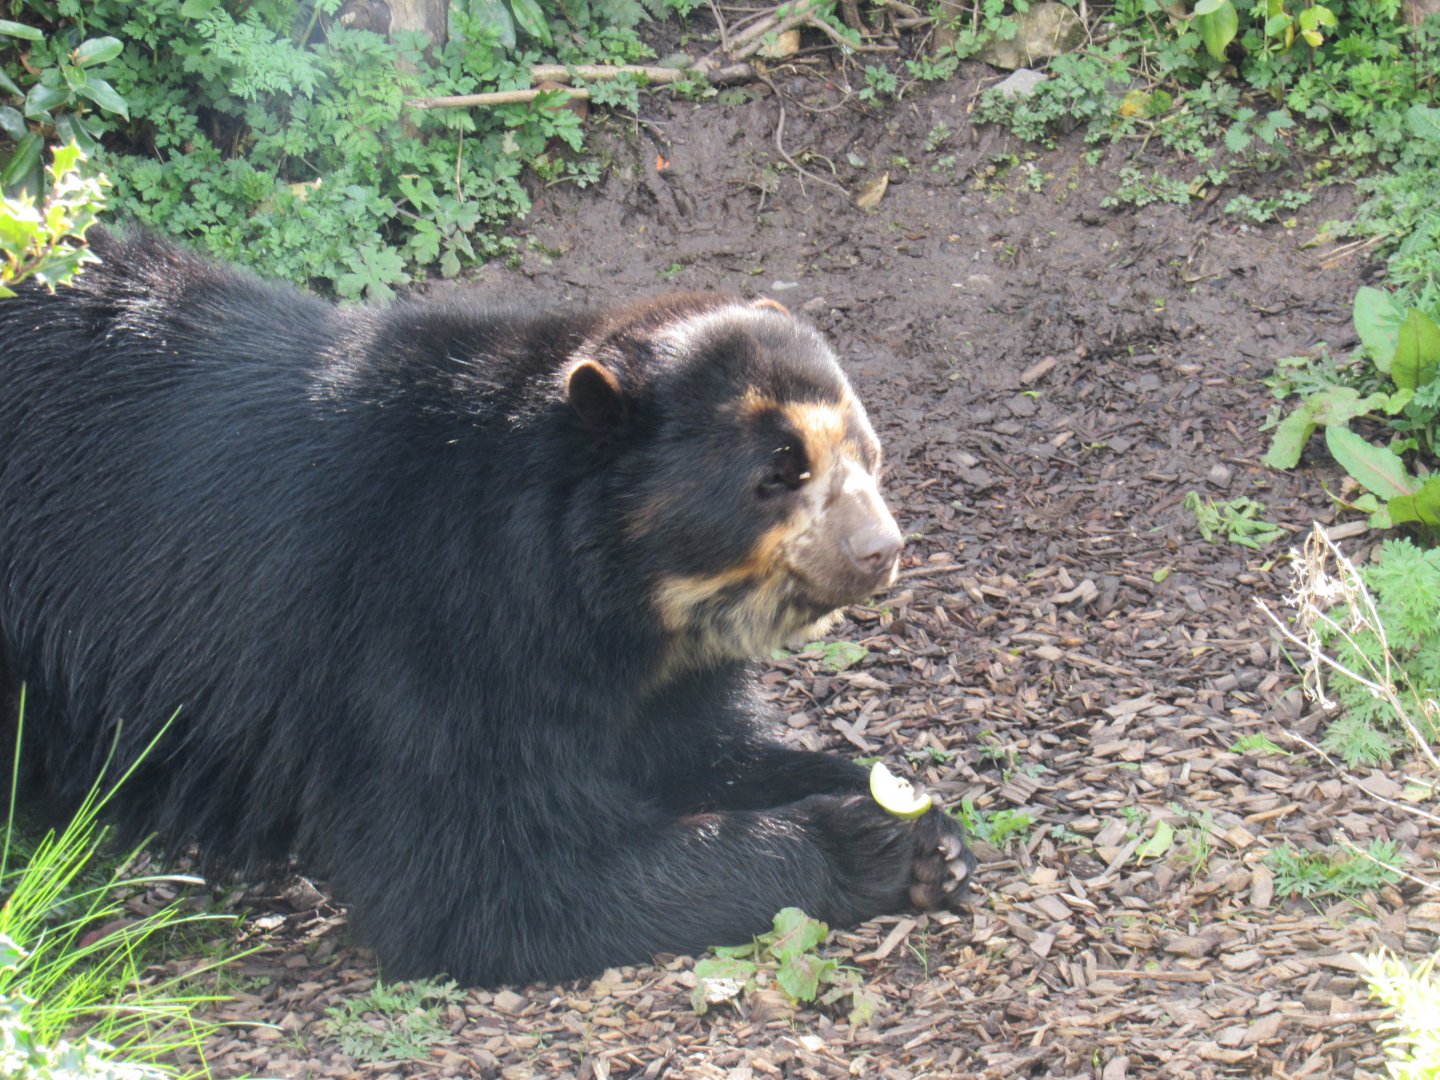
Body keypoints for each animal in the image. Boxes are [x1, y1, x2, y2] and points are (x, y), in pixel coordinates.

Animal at [0, 230, 973, 986]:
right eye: (778, 472)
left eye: (866, 451)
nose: (879, 551)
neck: (611, 601)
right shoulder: (421, 640)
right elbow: (482, 879)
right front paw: (867, 842)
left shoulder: (650, 677)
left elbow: (700, 752)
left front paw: (929, 829)